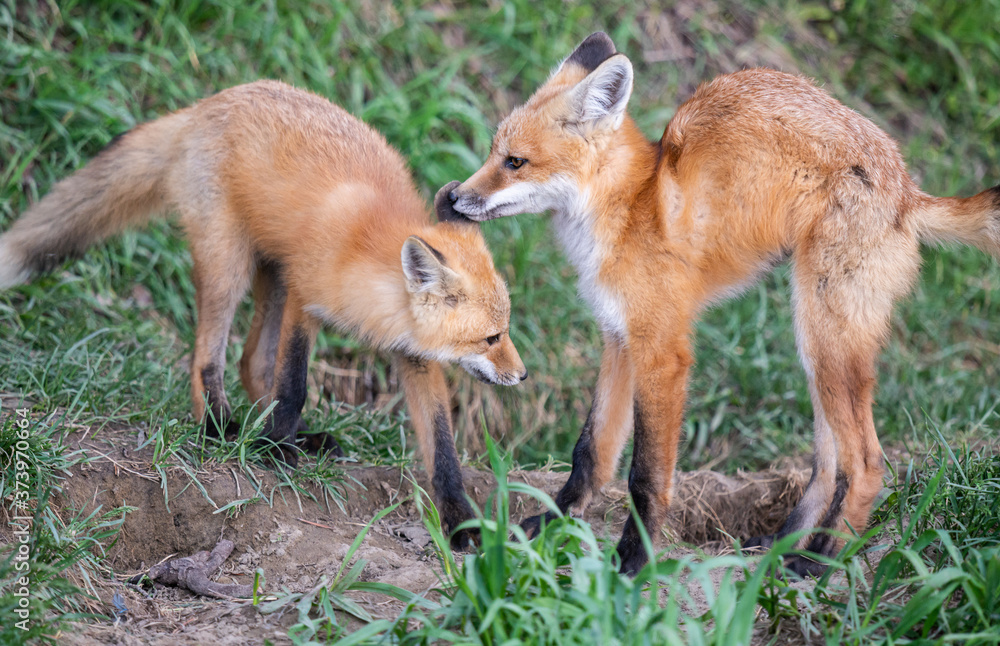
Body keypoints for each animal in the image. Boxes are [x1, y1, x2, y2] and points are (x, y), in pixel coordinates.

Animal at [0, 80, 527, 544]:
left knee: (251, 361)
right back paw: (223, 428)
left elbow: (442, 447)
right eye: (491, 338)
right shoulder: (304, 300)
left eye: (504, 332)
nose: (522, 377)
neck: (368, 272)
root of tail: (207, 104)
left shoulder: (412, 353)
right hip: (231, 266)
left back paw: (286, 434)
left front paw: (459, 519)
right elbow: (293, 384)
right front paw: (275, 453)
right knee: (208, 357)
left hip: (271, 274)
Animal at [445, 32, 1000, 575]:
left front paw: (633, 560)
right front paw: (554, 521)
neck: (627, 209)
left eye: (514, 162)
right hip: (817, 343)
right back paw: (784, 547)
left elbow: (645, 475)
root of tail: (908, 190)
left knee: (865, 462)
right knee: (828, 464)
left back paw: (819, 560)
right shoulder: (618, 338)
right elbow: (591, 450)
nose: (452, 197)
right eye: (493, 153)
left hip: (825, 337)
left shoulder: (663, 351)